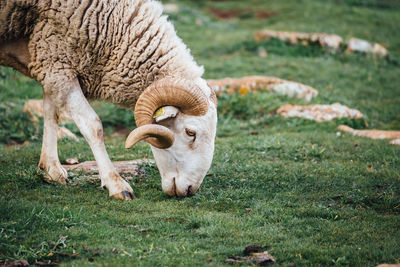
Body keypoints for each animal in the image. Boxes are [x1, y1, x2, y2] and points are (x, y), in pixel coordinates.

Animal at [0, 0, 219, 200]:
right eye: (190, 132)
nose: (190, 190)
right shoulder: (57, 56)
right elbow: (92, 126)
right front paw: (116, 184)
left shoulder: (50, 59)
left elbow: (51, 113)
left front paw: (51, 168)